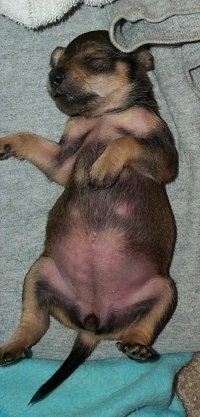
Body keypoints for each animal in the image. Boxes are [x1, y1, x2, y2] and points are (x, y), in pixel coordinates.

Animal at [0, 30, 178, 402]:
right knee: (34, 322)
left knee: (143, 326)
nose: (54, 77)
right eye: (57, 62)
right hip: (39, 272)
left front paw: (102, 167)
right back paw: (12, 347)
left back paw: (138, 347)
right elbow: (29, 138)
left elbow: (125, 142)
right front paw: (4, 141)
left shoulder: (165, 156)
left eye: (95, 59)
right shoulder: (62, 160)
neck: (103, 116)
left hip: (165, 289)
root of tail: (92, 326)